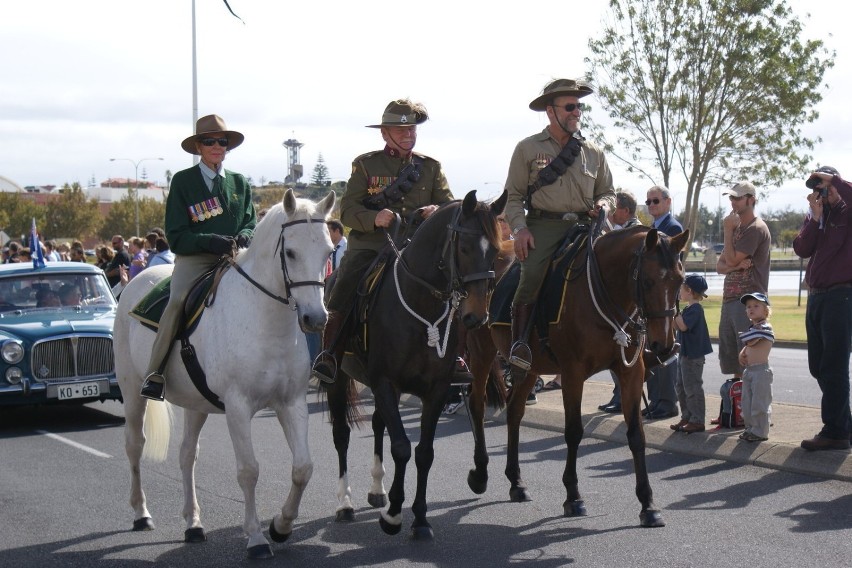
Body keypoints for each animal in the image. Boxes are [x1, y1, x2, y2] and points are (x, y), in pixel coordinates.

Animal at [112, 189, 336, 556]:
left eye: (329, 252)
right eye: (290, 252)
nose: (315, 319)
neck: (266, 320)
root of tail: (136, 280)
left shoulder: (291, 403)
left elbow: (303, 468)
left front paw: (282, 526)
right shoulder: (238, 407)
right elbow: (248, 471)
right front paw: (257, 538)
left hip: (195, 403)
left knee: (187, 455)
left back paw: (193, 523)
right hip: (132, 392)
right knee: (134, 445)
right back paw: (141, 513)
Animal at [326, 189, 506, 540]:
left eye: (495, 250)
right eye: (464, 248)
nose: (476, 316)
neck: (420, 305)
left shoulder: (434, 390)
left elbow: (423, 452)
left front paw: (420, 519)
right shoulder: (385, 382)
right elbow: (401, 447)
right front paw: (394, 515)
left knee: (379, 423)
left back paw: (377, 489)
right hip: (338, 377)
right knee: (341, 434)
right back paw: (344, 503)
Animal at [462, 224, 688, 524]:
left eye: (679, 280)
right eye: (649, 281)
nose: (663, 345)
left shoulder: (631, 373)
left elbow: (636, 435)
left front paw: (648, 505)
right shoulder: (572, 373)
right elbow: (573, 432)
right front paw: (573, 496)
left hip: (530, 367)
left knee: (514, 411)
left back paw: (516, 482)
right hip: (481, 352)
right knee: (477, 404)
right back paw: (480, 473)